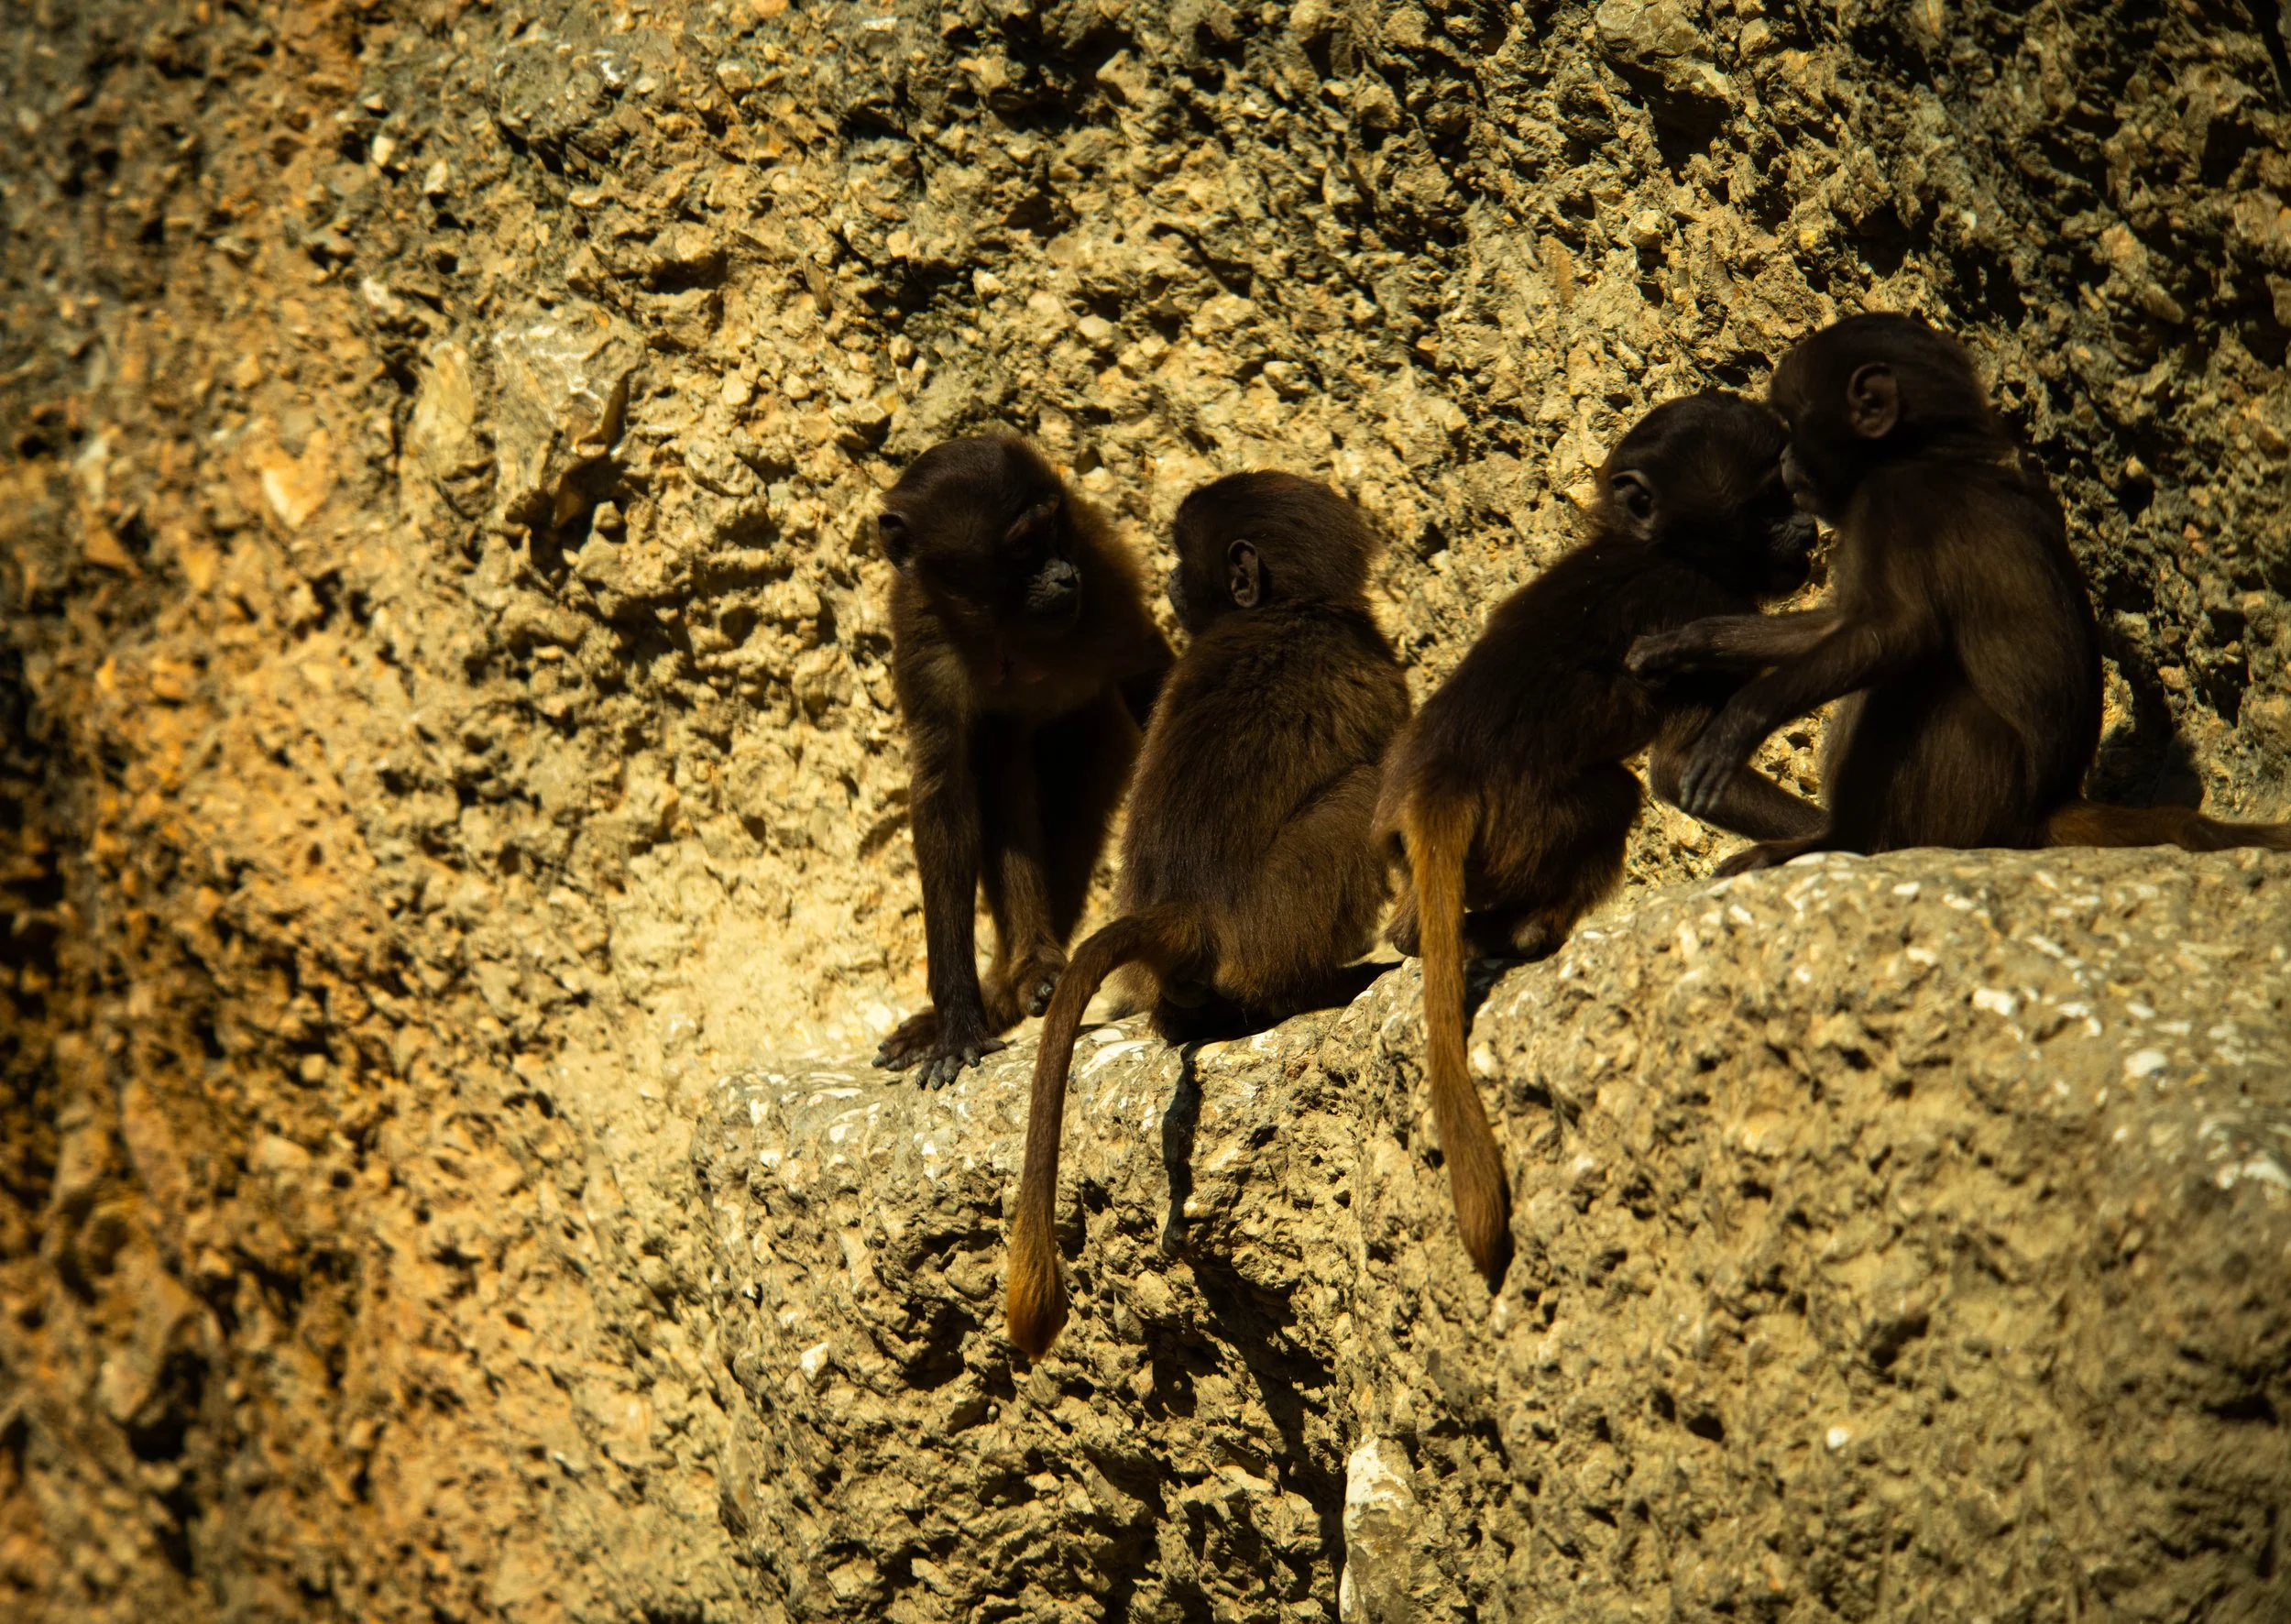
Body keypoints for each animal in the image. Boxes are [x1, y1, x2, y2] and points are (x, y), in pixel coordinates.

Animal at [871, 434, 1175, 1089]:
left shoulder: (1103, 592)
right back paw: (1017, 983)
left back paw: (1030, 976)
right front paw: (959, 1021)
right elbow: (944, 799)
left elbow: (1153, 681)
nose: (1064, 575)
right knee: (1000, 764)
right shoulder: (921, 631)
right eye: (1023, 548)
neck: (1001, 627)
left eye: (1054, 530)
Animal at [1005, 473, 1411, 1359]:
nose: (1163, 578)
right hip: (1276, 922)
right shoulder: (1378, 669)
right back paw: (1314, 986)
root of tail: (1183, 912)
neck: (1291, 606)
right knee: (1364, 789)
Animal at [1375, 392, 1830, 1284]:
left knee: (1414, 924)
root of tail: (1440, 775)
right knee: (1617, 794)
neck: (1646, 544)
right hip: (1530, 825)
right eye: (1766, 504)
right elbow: (1680, 771)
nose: (1808, 531)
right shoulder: (1690, 601)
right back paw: (1527, 933)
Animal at [1628, 314, 2291, 871]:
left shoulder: (1893, 500)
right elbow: (1841, 624)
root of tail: (2049, 809)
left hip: (1981, 793)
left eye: (1794, 424)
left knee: (1922, 686)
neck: (1930, 451)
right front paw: (1689, 643)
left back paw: (1842, 841)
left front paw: (1741, 720)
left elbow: (1896, 631)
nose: (1787, 459)